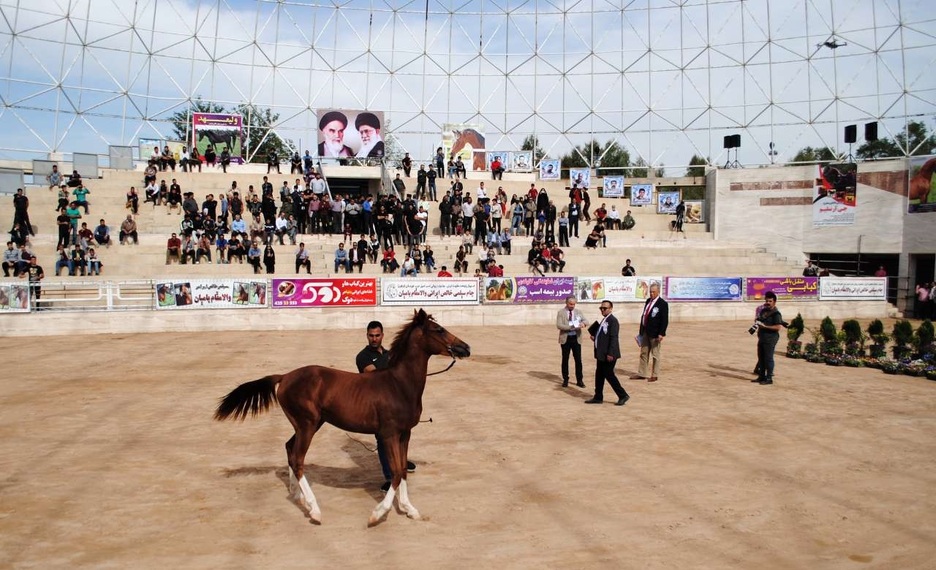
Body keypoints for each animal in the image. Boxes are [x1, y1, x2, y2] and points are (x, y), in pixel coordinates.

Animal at [216, 308, 472, 524]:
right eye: (438, 329)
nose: (465, 348)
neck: (398, 385)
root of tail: (285, 376)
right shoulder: (389, 434)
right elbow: (396, 472)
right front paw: (377, 514)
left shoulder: (405, 434)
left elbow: (402, 471)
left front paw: (410, 509)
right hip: (307, 425)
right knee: (297, 459)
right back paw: (314, 510)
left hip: (308, 424)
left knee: (289, 449)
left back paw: (297, 495)